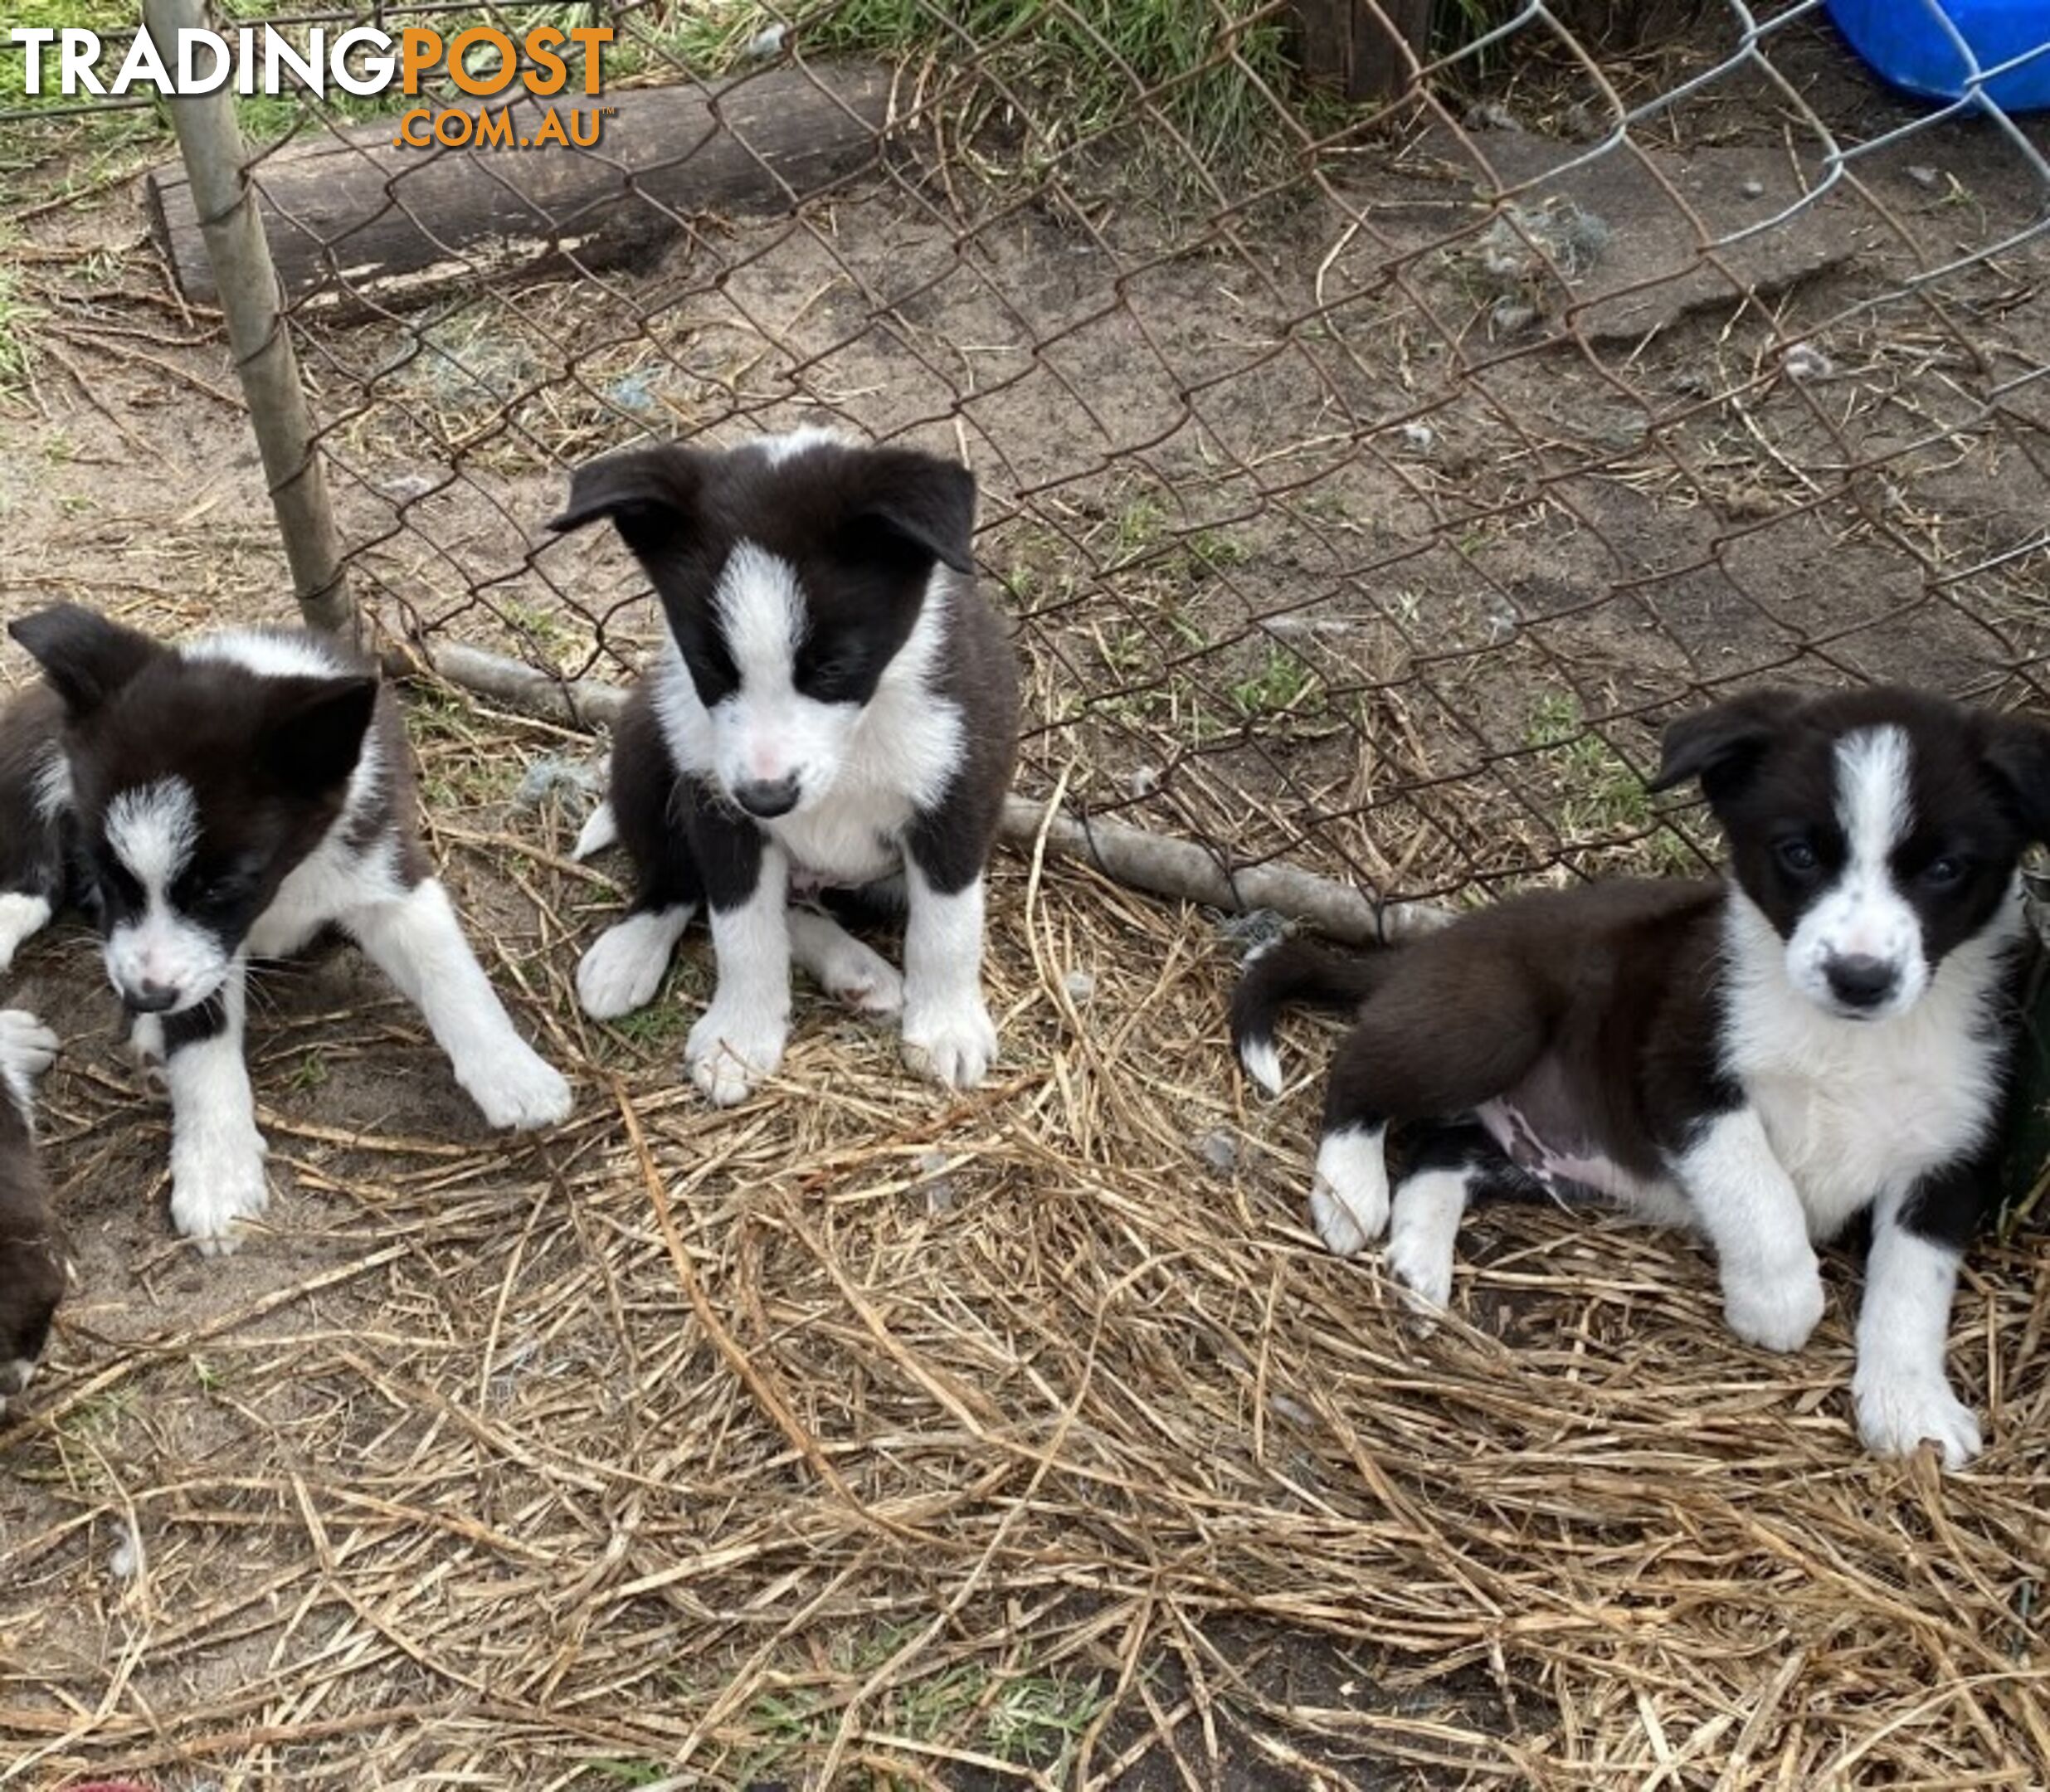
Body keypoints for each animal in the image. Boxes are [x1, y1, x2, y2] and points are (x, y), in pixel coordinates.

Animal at [0, 606, 573, 1246]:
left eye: (221, 887)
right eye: (108, 874)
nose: (143, 998)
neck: (289, 880)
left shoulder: (388, 871)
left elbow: (451, 976)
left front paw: (513, 1074)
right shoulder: (204, 955)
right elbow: (202, 1043)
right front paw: (217, 1172)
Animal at [553, 432, 1016, 1107]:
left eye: (834, 668)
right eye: (711, 666)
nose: (767, 799)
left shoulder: (959, 790)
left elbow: (949, 925)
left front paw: (946, 1027)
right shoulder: (718, 805)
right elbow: (742, 928)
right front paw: (739, 1038)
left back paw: (858, 970)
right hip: (647, 733)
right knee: (679, 880)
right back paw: (632, 951)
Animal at [1230, 684, 2050, 1468]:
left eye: (1944, 869)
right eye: (1798, 855)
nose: (1860, 978)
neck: (1850, 1041)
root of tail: (1423, 948)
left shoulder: (1950, 1153)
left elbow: (1913, 1286)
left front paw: (1909, 1407)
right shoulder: (1683, 1076)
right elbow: (1759, 1193)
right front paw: (1778, 1302)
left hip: (1553, 1157)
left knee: (1438, 1153)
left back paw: (1418, 1262)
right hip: (1491, 1021)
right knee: (1358, 1071)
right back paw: (1350, 1194)